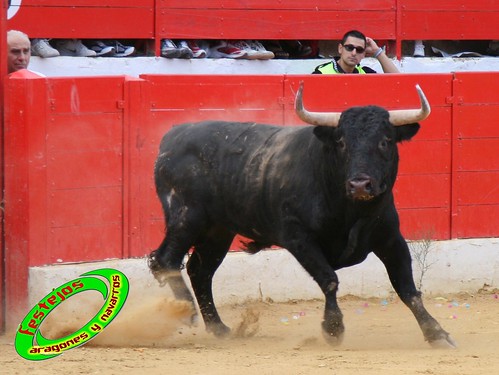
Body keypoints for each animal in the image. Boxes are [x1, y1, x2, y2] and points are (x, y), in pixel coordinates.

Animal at [148, 83, 458, 348]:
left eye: (386, 141)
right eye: (341, 142)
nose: (359, 184)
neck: (350, 209)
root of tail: (171, 138)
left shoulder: (391, 239)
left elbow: (407, 288)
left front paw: (437, 333)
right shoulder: (298, 237)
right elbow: (329, 279)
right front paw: (333, 329)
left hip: (218, 231)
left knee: (200, 271)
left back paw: (219, 328)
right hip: (187, 216)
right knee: (166, 260)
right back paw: (186, 311)